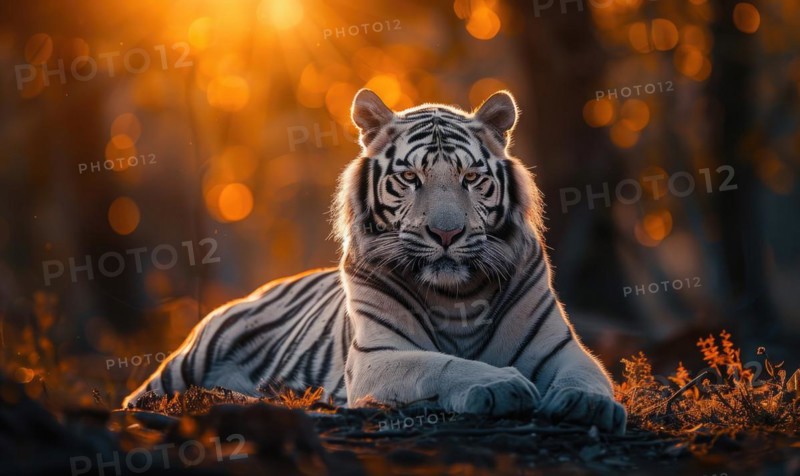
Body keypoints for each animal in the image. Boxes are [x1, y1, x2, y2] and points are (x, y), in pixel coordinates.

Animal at [124, 89, 627, 433]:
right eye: (410, 177)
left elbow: (586, 377)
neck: (458, 298)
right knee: (140, 397)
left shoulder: (562, 349)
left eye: (470, 177)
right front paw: (500, 385)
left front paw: (590, 405)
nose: (447, 234)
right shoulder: (379, 356)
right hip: (190, 358)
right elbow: (441, 364)